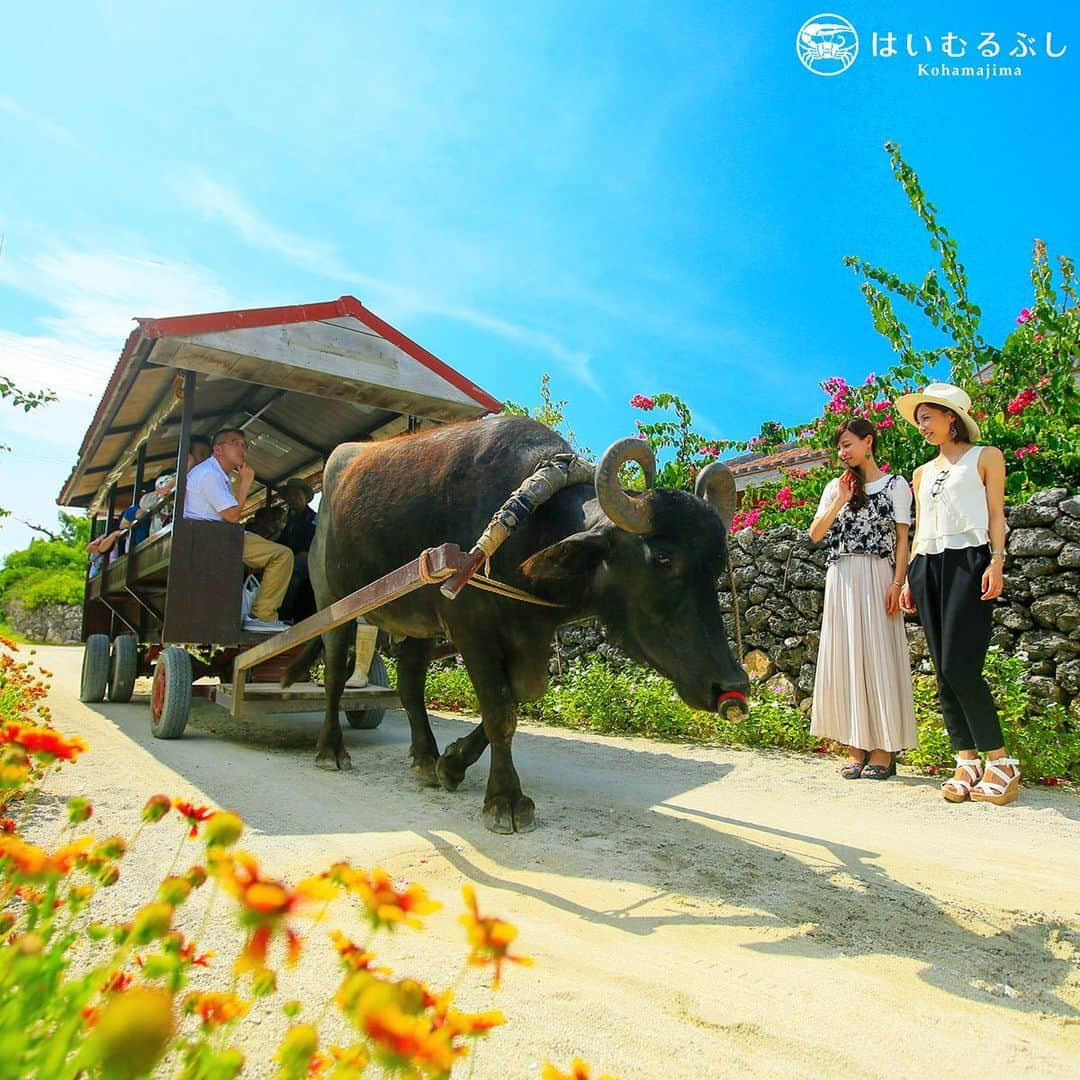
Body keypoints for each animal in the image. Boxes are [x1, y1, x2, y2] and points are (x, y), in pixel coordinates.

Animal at [298, 414, 751, 833]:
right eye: (663, 558)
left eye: (718, 564)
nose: (733, 685)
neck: (529, 528)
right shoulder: (471, 629)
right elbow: (500, 711)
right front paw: (505, 800)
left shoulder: (530, 634)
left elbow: (520, 695)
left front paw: (452, 763)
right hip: (334, 605)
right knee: (335, 674)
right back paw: (331, 751)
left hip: (416, 626)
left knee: (410, 686)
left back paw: (425, 758)